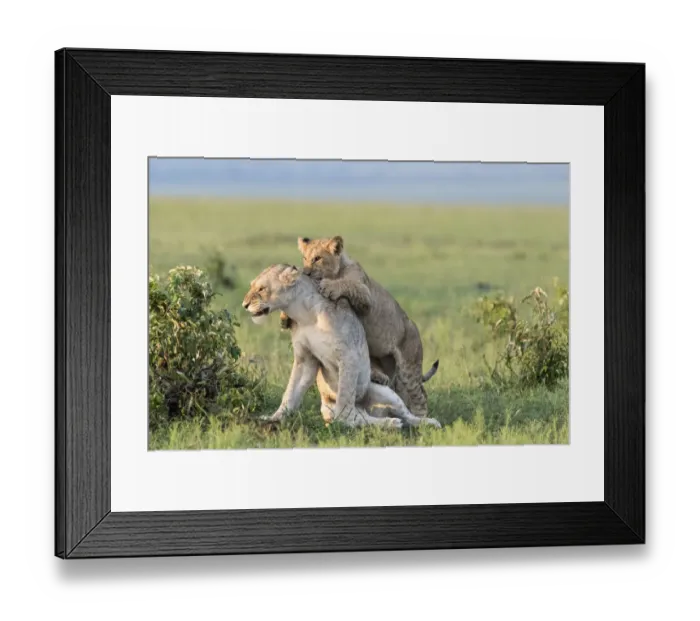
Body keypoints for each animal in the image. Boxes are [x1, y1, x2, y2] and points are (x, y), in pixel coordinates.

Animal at [242, 264, 441, 429]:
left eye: (261, 288)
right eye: (252, 286)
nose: (244, 305)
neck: (304, 314)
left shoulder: (348, 355)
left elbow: (344, 397)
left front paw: (342, 420)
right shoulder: (305, 358)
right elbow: (291, 392)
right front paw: (274, 418)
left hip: (385, 390)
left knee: (406, 414)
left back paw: (428, 422)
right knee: (365, 420)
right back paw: (389, 423)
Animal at [278, 236, 437, 418]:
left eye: (317, 258)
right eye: (304, 258)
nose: (306, 272)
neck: (336, 271)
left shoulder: (365, 296)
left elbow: (348, 284)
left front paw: (329, 286)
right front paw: (284, 317)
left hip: (409, 367)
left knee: (420, 393)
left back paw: (421, 417)